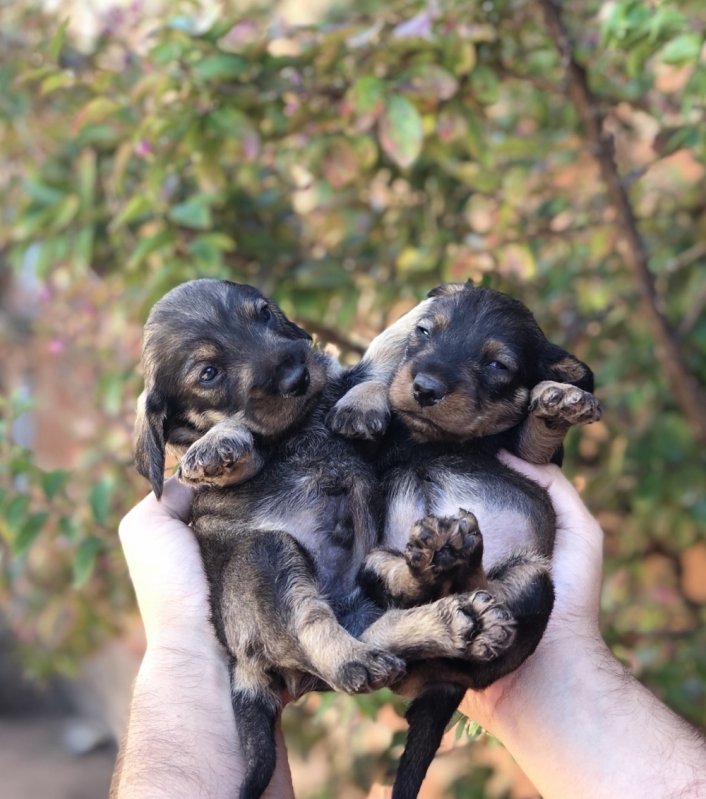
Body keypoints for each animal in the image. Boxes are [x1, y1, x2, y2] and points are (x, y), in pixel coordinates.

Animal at [133, 280, 500, 799]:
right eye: (208, 372)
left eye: (264, 314)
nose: (295, 375)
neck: (303, 419)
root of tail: (243, 670)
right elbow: (240, 435)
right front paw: (217, 442)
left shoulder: (346, 390)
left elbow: (376, 363)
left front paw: (429, 315)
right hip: (270, 554)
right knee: (315, 631)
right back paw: (362, 656)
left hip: (365, 592)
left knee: (382, 619)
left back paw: (441, 598)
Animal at [328, 282, 600, 799]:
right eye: (422, 331)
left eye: (498, 365)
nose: (425, 388)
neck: (431, 439)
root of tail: (445, 686)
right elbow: (381, 386)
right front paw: (362, 403)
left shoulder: (530, 456)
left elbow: (535, 431)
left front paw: (557, 398)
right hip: (377, 562)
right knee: (401, 599)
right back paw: (435, 562)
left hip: (534, 580)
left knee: (482, 592)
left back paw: (466, 572)